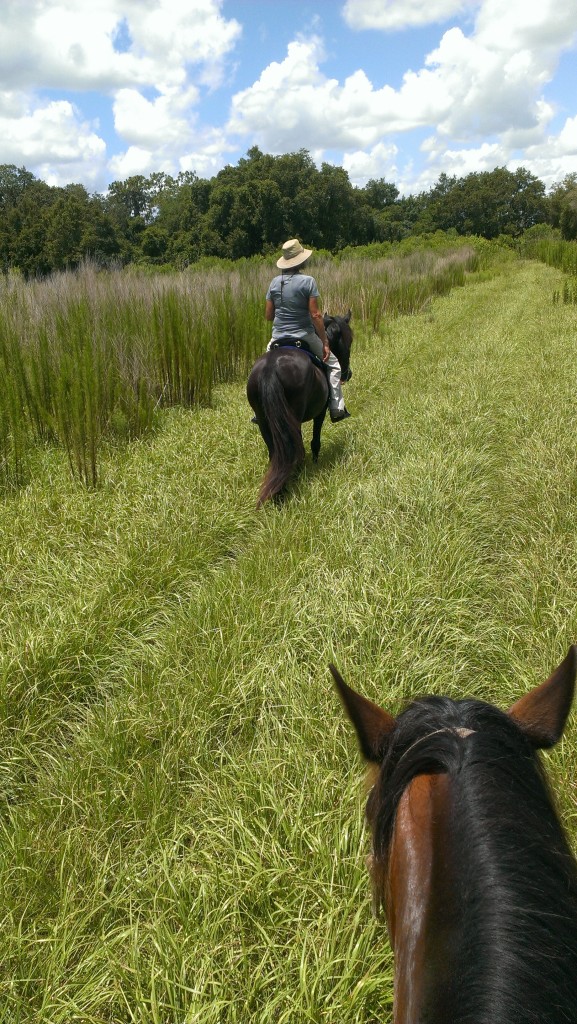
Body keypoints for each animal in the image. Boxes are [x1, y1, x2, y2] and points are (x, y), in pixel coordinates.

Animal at [246, 309, 352, 505]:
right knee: (295, 450)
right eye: (349, 340)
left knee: (276, 453)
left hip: (264, 420)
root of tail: (271, 367)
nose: (347, 374)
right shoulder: (321, 412)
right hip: (293, 417)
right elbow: (315, 441)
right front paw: (316, 463)